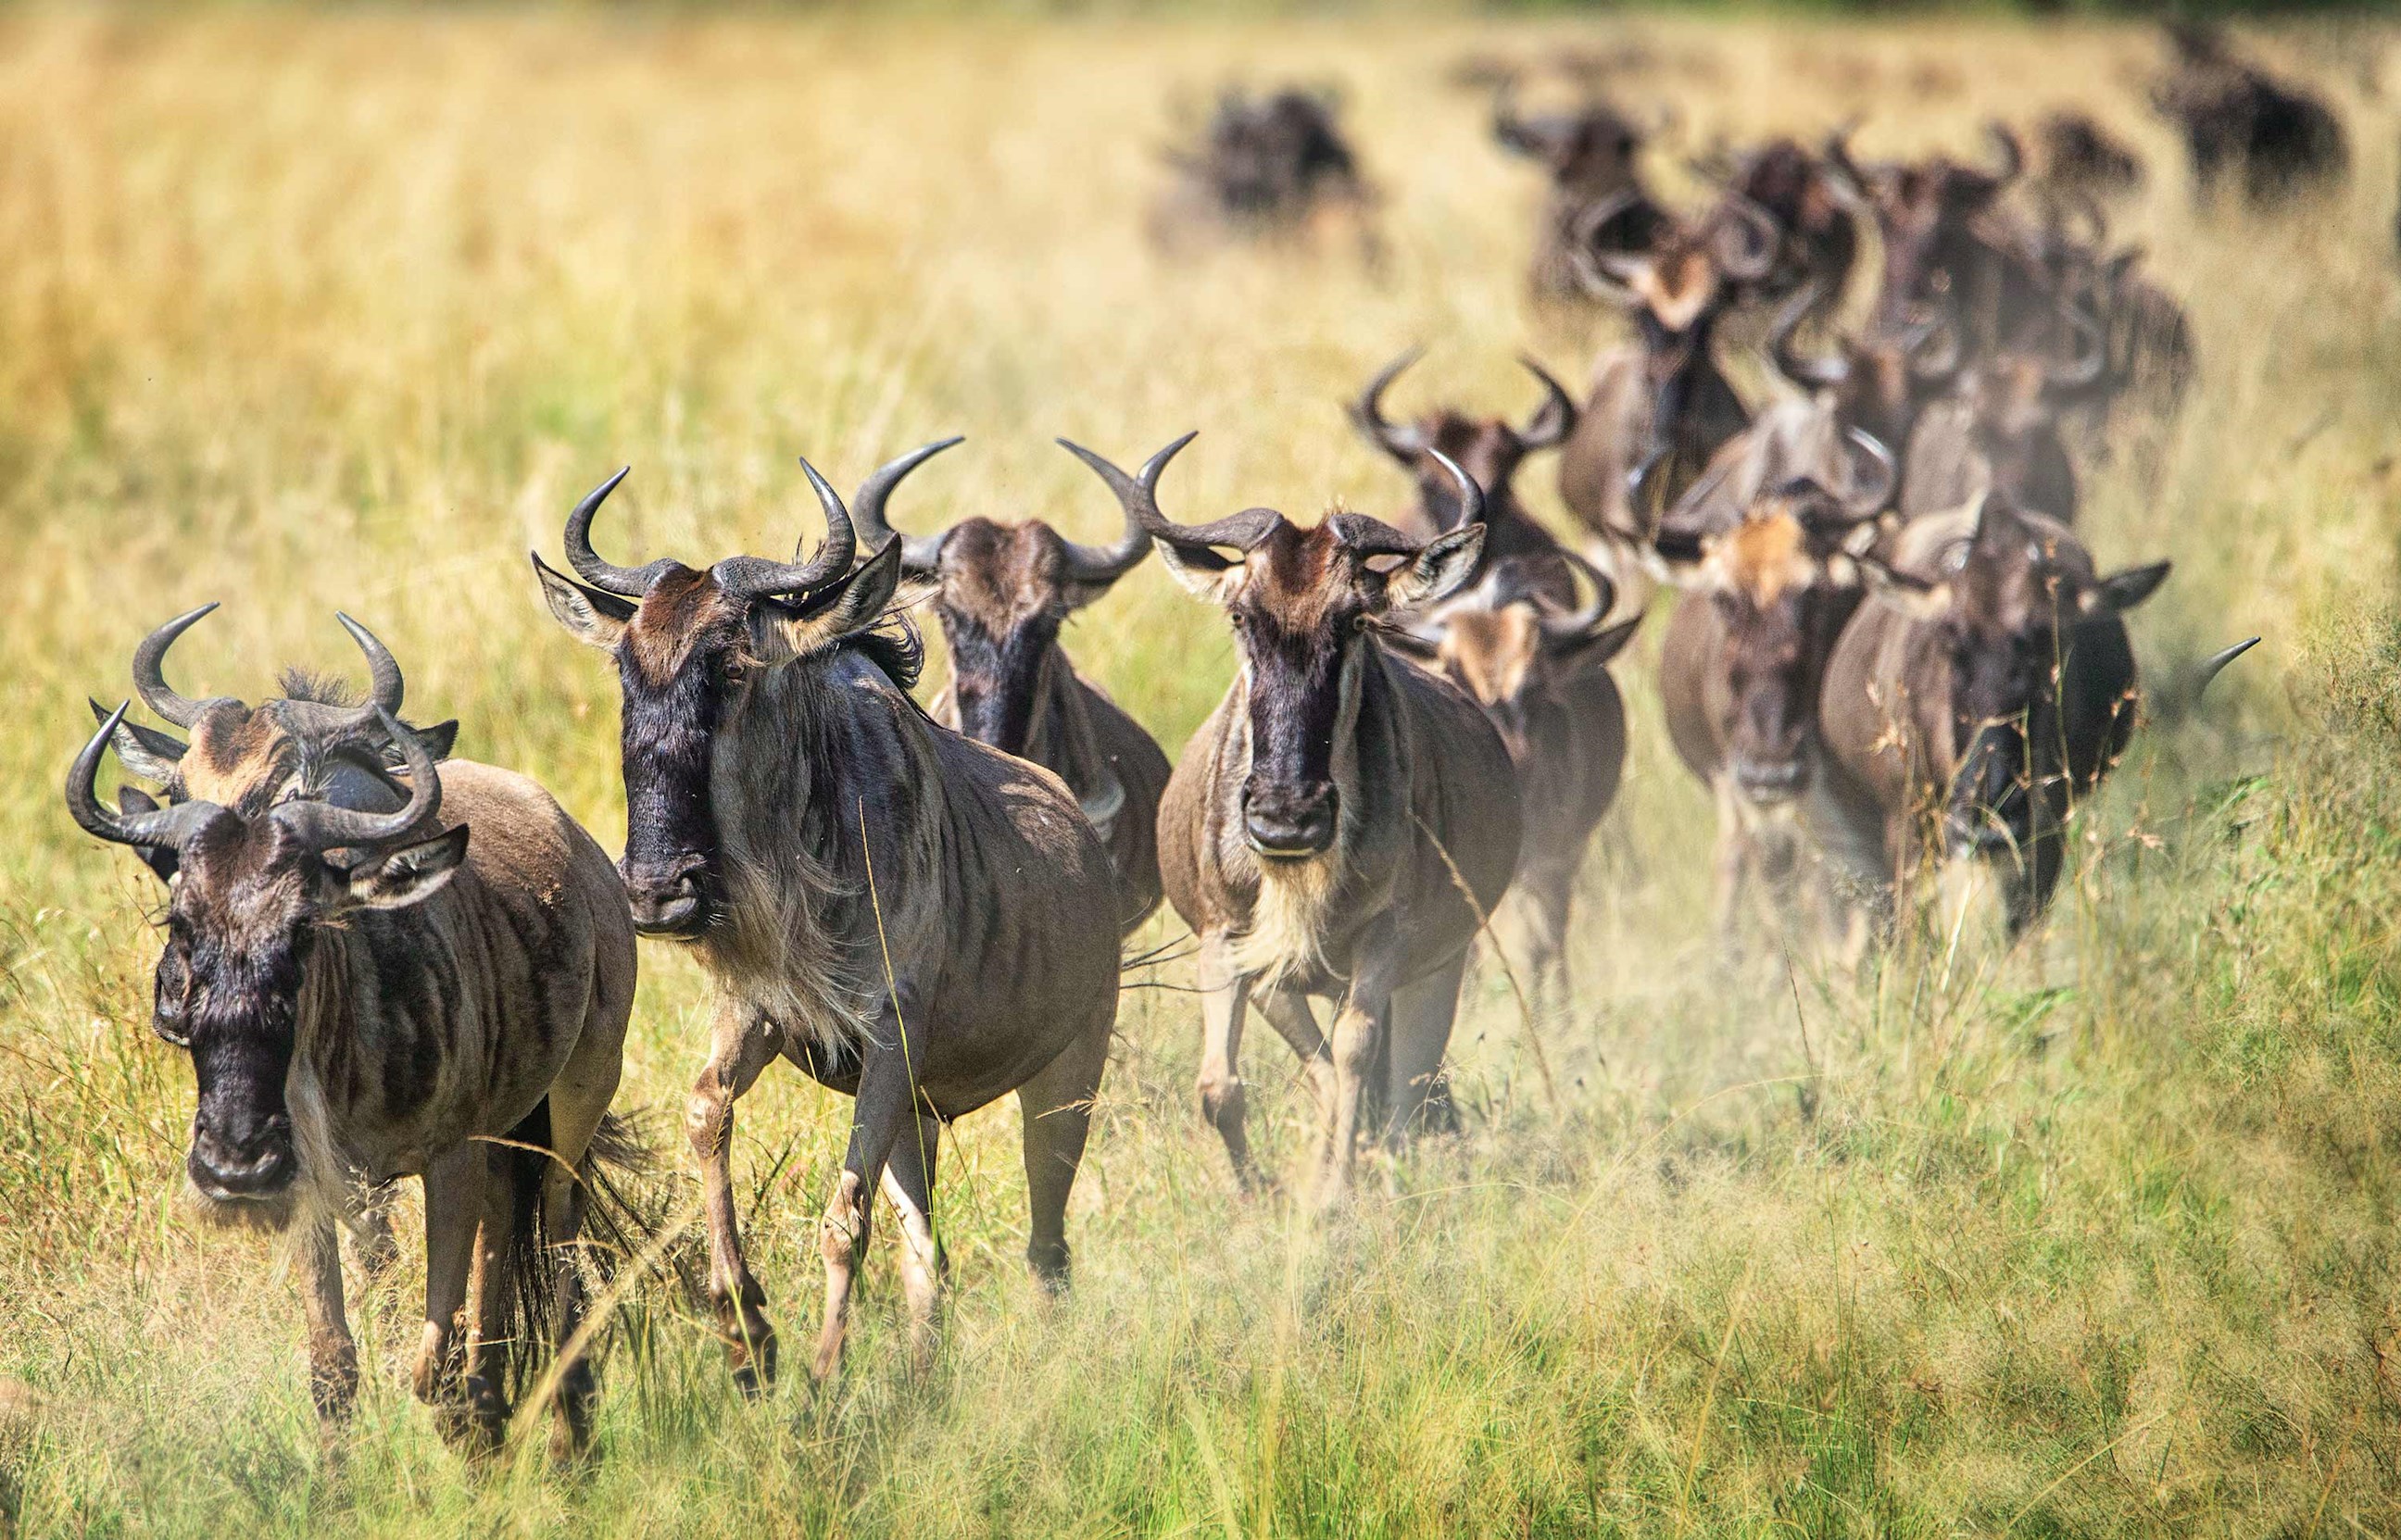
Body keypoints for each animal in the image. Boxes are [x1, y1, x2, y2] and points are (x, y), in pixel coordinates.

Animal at [533, 453, 1120, 1388]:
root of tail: (1091, 850)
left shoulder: (888, 1036)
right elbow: (704, 1112)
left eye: (734, 669)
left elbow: (844, 1219)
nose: (659, 894)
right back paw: (920, 1379)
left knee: (1046, 1242)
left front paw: (818, 1375)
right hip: (920, 1113)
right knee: (929, 1247)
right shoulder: (764, 1014)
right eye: (627, 671)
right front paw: (744, 1326)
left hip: (1066, 1079)